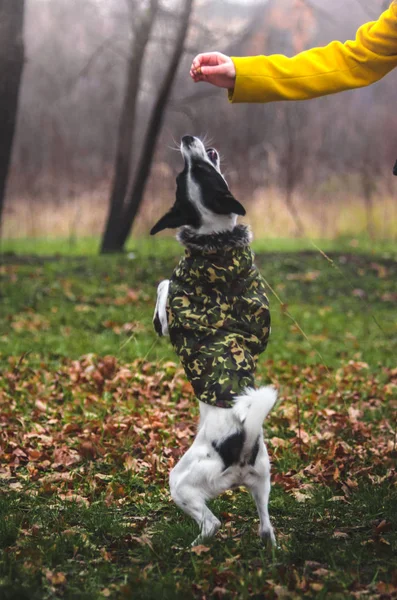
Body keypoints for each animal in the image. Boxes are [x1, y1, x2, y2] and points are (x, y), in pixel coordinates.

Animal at [149, 137, 276, 548]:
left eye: (199, 171)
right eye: (181, 176)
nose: (188, 139)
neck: (216, 242)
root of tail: (242, 444)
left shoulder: (172, 315)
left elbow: (165, 285)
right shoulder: (260, 321)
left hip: (181, 483)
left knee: (211, 523)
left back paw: (192, 548)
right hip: (262, 481)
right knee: (266, 526)